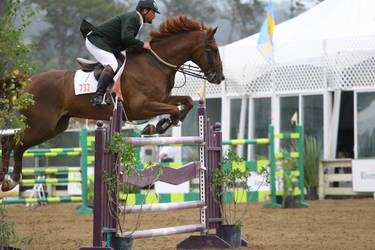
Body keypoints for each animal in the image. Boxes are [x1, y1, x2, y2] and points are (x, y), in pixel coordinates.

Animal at [0, 15, 225, 191]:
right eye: (213, 49)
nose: (219, 78)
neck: (155, 64)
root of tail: (28, 81)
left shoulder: (160, 99)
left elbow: (186, 102)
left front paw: (164, 123)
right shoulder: (140, 107)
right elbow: (173, 110)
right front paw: (157, 126)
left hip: (54, 127)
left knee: (17, 144)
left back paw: (10, 180)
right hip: (41, 125)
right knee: (13, 143)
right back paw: (9, 180)